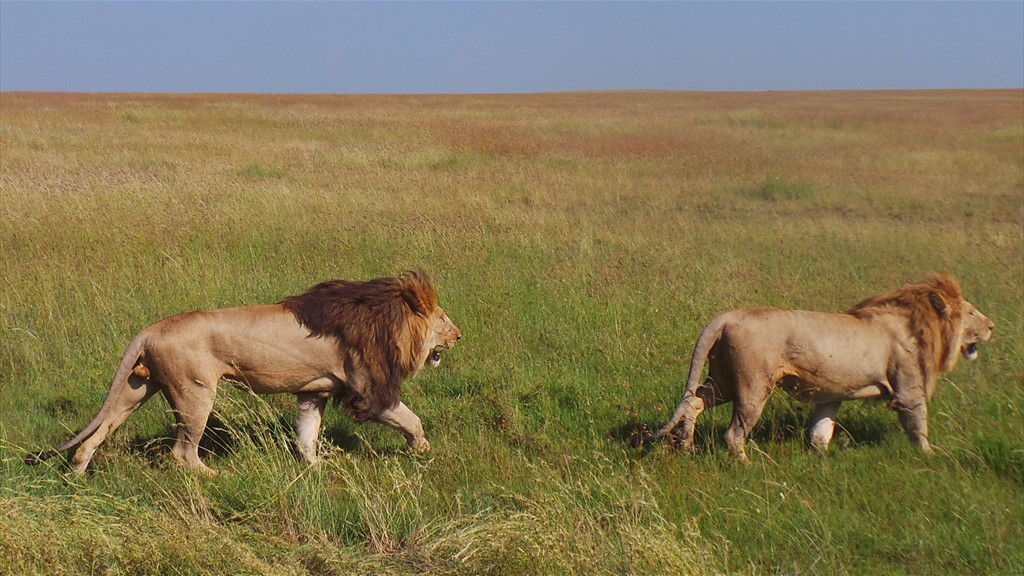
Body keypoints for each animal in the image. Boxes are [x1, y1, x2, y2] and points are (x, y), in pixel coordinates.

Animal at [27, 270, 460, 473]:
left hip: (136, 388)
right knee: (182, 452)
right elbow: (412, 419)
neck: (388, 319)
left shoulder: (313, 392)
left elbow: (308, 435)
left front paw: (315, 467)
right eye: (443, 318)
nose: (459, 335)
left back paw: (78, 473)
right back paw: (213, 476)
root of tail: (150, 330)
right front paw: (423, 451)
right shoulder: (368, 390)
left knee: (98, 430)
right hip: (195, 393)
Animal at [651, 272, 995, 457]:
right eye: (972, 313)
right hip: (752, 385)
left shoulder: (832, 395)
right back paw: (744, 464)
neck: (918, 323)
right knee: (733, 433)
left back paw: (685, 444)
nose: (992, 325)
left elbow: (820, 430)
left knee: (694, 401)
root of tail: (726, 317)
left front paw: (820, 461)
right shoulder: (909, 389)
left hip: (723, 379)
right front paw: (929, 457)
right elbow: (918, 426)